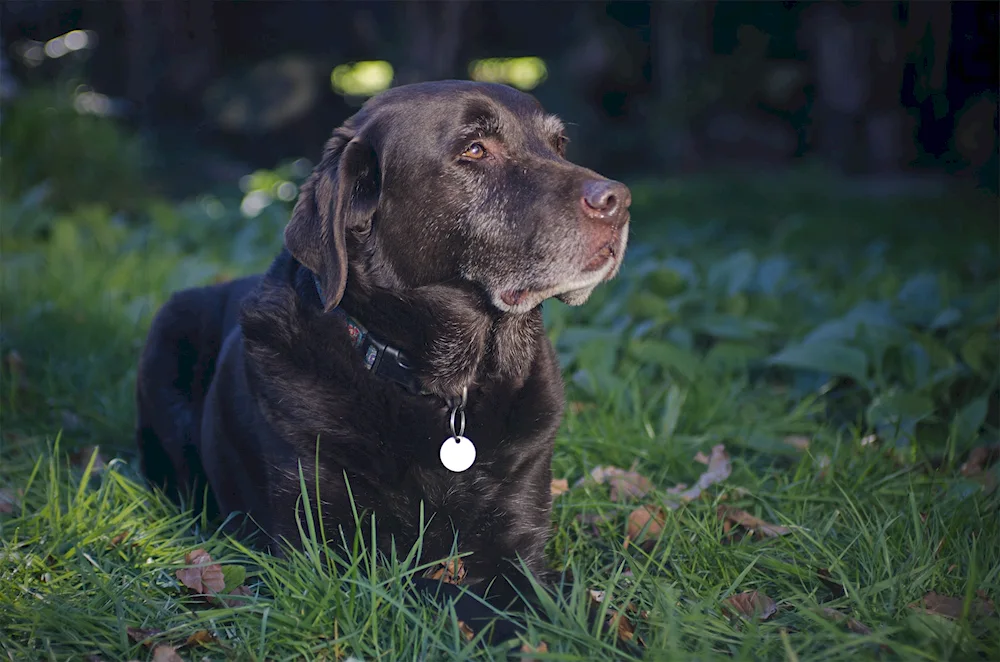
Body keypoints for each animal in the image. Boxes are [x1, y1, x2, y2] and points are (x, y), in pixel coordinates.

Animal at [136, 79, 628, 644]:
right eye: (474, 150)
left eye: (559, 145)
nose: (618, 200)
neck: (448, 383)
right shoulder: (328, 561)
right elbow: (456, 594)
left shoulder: (518, 537)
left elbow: (544, 586)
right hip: (169, 326)